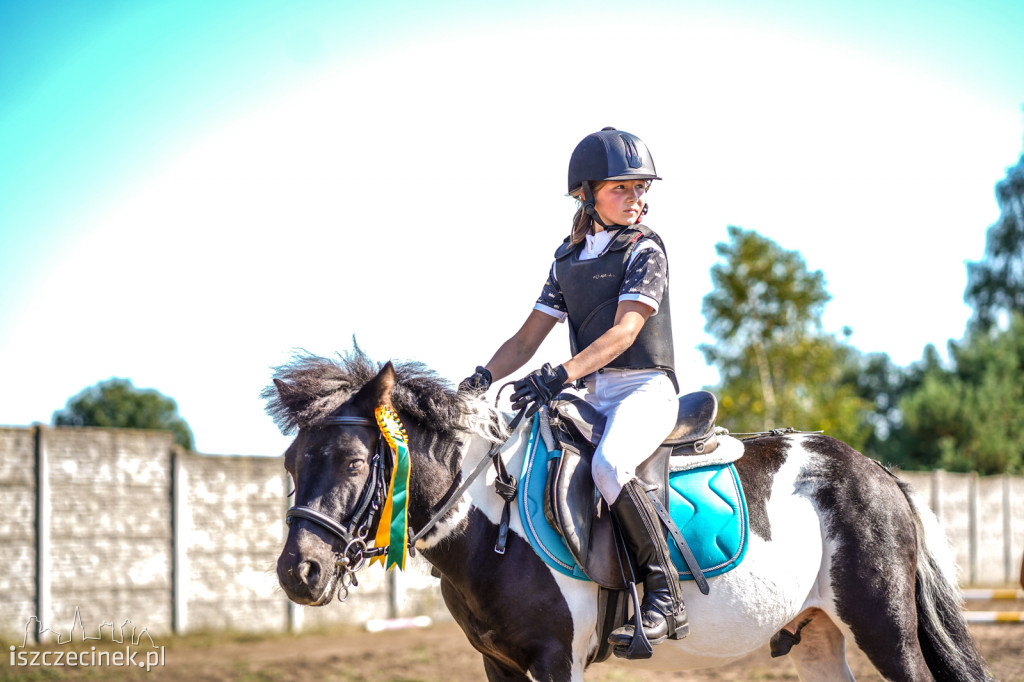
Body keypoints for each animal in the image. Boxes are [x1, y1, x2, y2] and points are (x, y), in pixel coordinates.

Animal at [268, 350, 987, 679]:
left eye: (354, 464)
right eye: (291, 463)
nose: (298, 572)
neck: (493, 524)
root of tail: (876, 471)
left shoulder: (556, 658)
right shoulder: (499, 663)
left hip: (884, 628)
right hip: (815, 633)